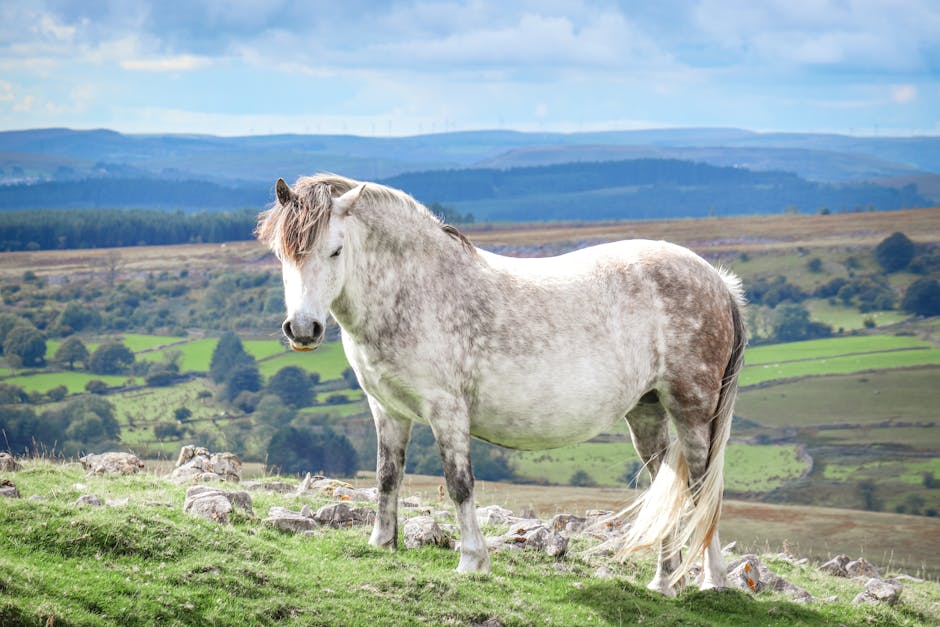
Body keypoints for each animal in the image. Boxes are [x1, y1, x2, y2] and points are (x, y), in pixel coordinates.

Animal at [253, 174, 744, 596]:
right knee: (667, 487)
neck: (414, 290)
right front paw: (382, 542)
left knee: (701, 490)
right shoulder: (387, 409)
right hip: (646, 411)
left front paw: (473, 561)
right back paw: (664, 582)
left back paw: (712, 581)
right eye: (283, 254)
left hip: (692, 410)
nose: (303, 329)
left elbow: (459, 484)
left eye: (336, 251)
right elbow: (387, 475)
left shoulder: (447, 411)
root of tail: (718, 281)